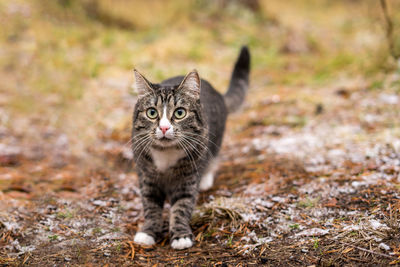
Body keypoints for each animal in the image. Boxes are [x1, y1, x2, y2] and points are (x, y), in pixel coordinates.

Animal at [131, 46, 250, 251]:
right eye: (152, 113)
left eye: (180, 113)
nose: (164, 128)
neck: (165, 153)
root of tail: (217, 91)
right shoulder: (147, 176)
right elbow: (151, 206)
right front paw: (147, 232)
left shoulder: (188, 177)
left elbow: (181, 206)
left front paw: (180, 236)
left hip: (213, 142)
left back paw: (206, 179)